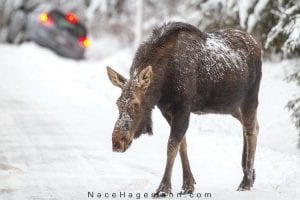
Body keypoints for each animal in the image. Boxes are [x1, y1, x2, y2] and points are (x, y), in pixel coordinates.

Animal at [106, 21, 262, 195]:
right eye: (118, 103)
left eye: (135, 104)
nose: (117, 142)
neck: (161, 85)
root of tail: (257, 44)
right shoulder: (166, 110)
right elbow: (182, 144)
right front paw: (188, 184)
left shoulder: (182, 107)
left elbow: (172, 145)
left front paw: (163, 188)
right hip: (231, 106)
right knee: (253, 125)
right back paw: (251, 174)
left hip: (250, 97)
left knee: (251, 130)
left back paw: (245, 181)